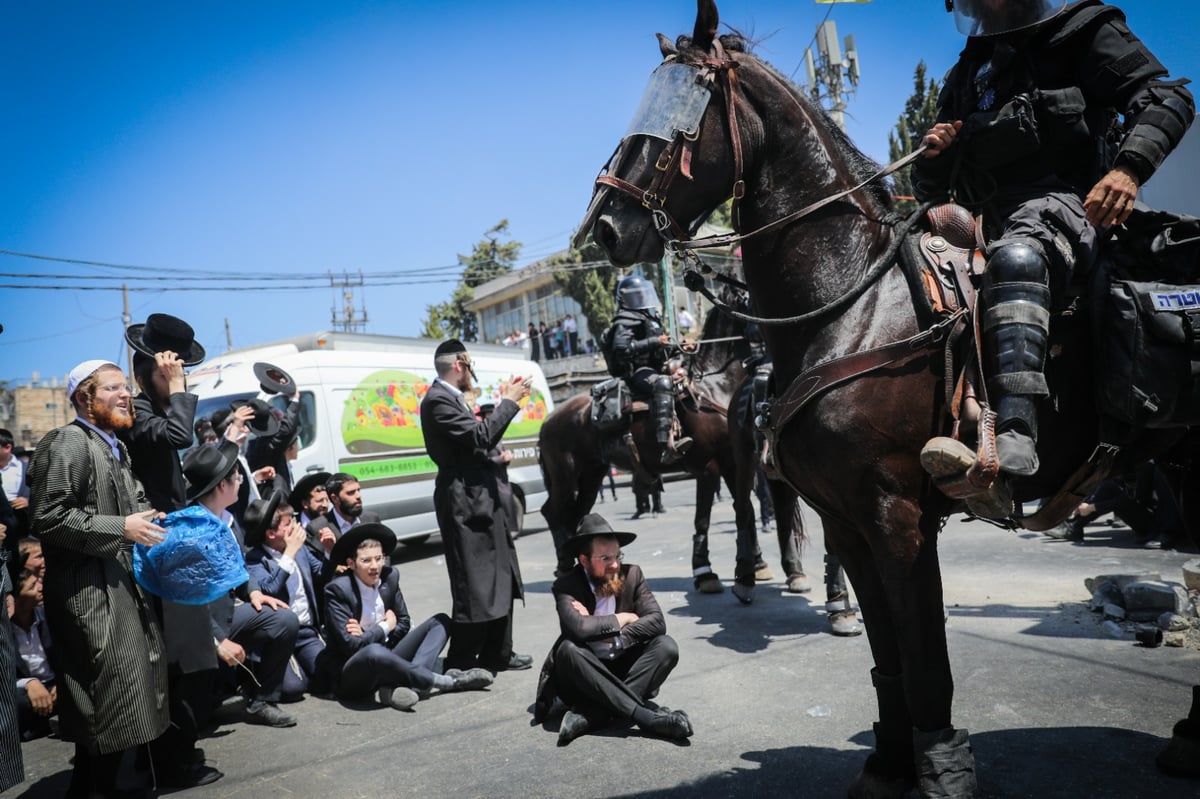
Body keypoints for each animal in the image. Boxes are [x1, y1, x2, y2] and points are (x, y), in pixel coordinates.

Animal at [578, 3, 1180, 791]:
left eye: (684, 112)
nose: (605, 226)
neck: (851, 300)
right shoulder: (846, 518)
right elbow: (887, 654)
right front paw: (893, 757)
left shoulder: (896, 518)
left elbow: (923, 658)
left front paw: (943, 766)